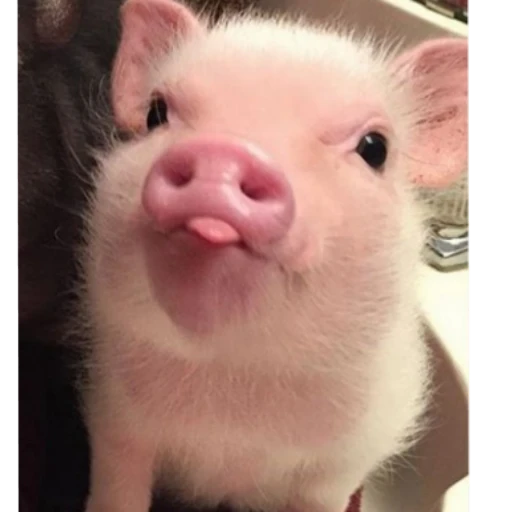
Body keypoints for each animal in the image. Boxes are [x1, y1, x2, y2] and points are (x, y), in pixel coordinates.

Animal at [77, 1, 468, 511]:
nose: (224, 149)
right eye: (157, 114)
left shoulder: (343, 465)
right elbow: (117, 486)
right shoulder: (114, 416)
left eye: (375, 148)